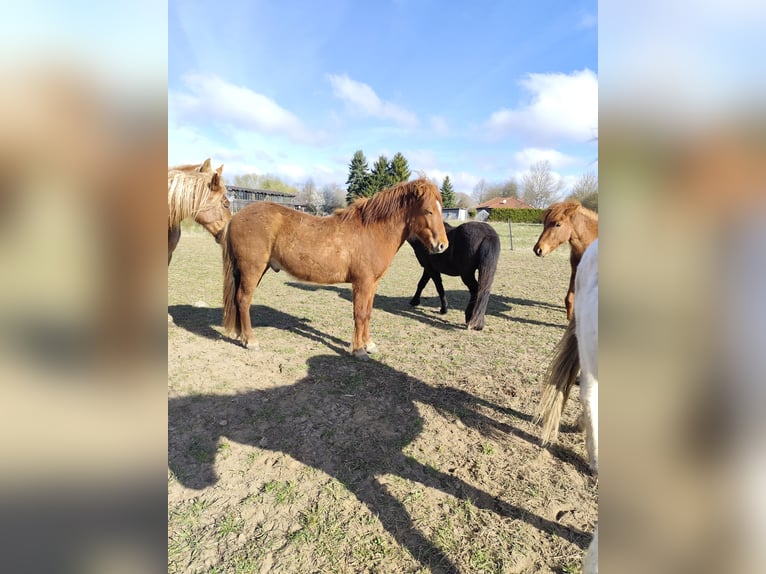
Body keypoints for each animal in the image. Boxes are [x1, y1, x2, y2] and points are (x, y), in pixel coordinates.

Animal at [222, 178, 449, 359]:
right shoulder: (362, 283)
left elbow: (367, 314)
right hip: (252, 269)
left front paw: (369, 345)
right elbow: (359, 314)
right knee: (243, 300)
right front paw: (359, 350)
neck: (372, 232)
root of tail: (236, 217)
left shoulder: (372, 285)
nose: (442, 246)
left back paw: (241, 336)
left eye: (441, 209)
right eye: (428, 210)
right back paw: (251, 341)